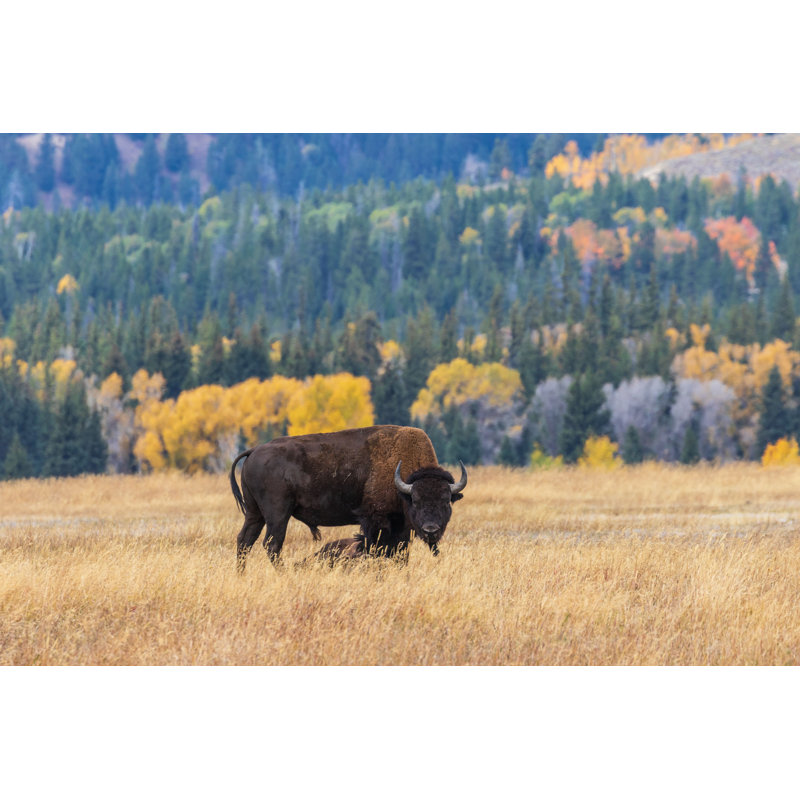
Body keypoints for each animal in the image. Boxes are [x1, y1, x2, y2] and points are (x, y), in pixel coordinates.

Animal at [229, 425, 467, 570]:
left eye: (446, 501)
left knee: (245, 540)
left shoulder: (401, 527)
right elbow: (375, 550)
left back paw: (241, 575)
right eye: (415, 501)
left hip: (255, 513)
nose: (431, 530)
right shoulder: (375, 522)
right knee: (272, 545)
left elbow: (399, 553)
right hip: (277, 514)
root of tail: (254, 451)